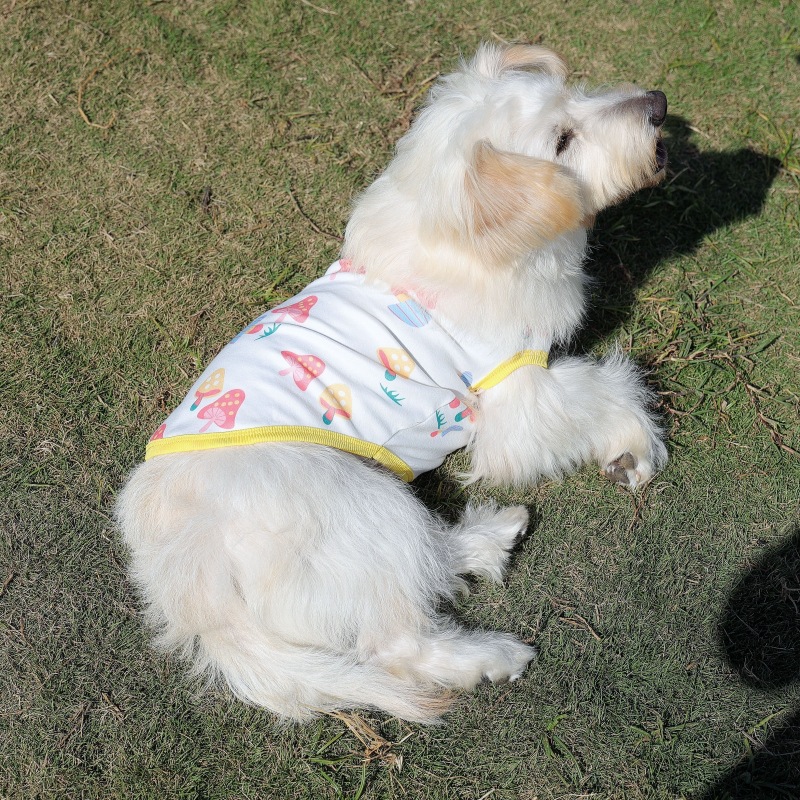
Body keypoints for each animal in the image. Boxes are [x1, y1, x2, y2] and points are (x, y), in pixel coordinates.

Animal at [116, 42, 669, 723]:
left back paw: (491, 536)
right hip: (364, 507)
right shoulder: (514, 392)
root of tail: (198, 585)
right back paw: (491, 656)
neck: (463, 236)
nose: (659, 105)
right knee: (397, 641)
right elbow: (604, 389)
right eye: (562, 140)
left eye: (578, 92)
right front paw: (636, 446)